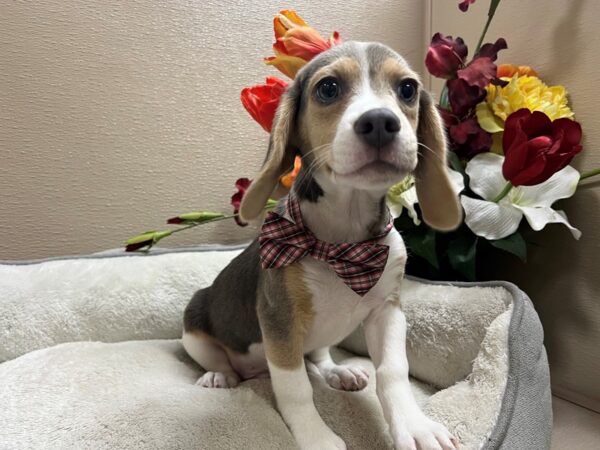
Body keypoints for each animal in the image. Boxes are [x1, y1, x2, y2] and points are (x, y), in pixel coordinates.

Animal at [180, 42, 462, 450]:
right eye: (328, 88)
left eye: (408, 89)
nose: (380, 122)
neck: (342, 243)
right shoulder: (278, 319)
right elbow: (296, 388)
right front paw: (317, 437)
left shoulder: (388, 311)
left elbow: (393, 371)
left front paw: (414, 425)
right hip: (194, 327)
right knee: (220, 360)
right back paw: (220, 376)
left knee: (318, 357)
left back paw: (338, 373)